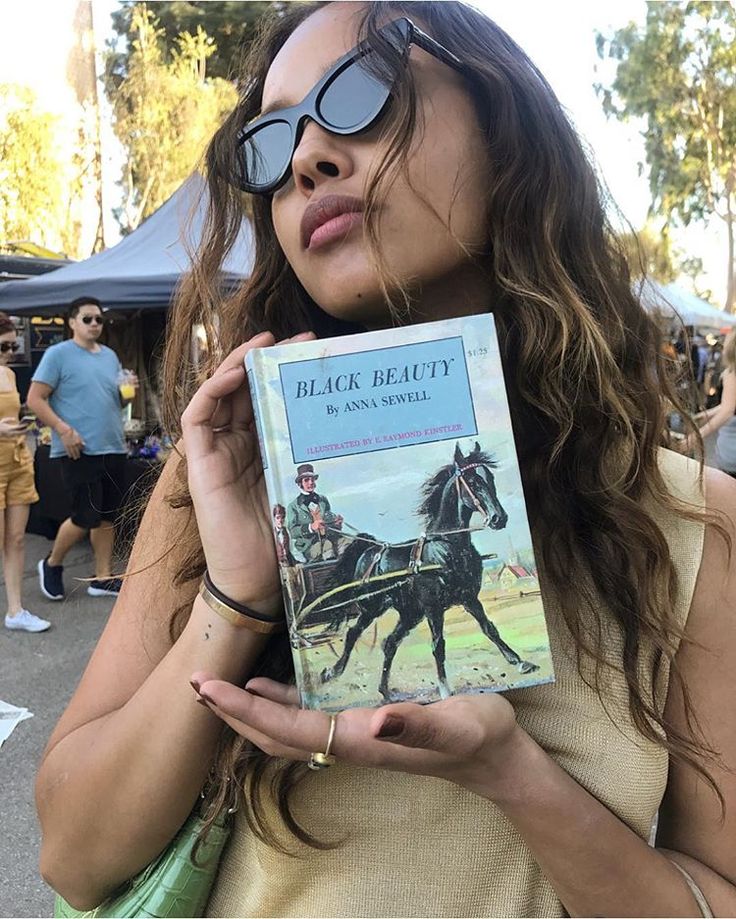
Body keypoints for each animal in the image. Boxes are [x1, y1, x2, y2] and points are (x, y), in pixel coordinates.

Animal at [320, 442, 536, 700]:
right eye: (472, 481)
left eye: (490, 478)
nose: (498, 518)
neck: (446, 548)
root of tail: (371, 550)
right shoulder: (434, 608)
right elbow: (438, 645)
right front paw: (444, 688)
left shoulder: (469, 598)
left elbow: (489, 629)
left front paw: (520, 662)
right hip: (373, 607)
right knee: (353, 634)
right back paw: (332, 672)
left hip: (410, 613)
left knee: (389, 643)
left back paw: (384, 690)